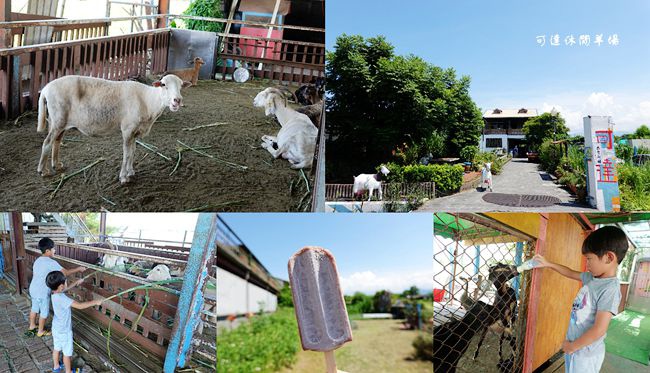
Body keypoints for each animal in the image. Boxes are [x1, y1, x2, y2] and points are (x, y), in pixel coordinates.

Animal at [37, 73, 190, 183]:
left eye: (181, 86)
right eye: (163, 85)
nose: (177, 100)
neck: (148, 101)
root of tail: (45, 89)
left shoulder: (135, 131)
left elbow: (133, 152)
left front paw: (130, 172)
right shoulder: (127, 129)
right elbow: (127, 153)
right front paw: (123, 177)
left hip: (59, 121)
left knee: (56, 141)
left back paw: (57, 165)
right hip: (58, 119)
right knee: (47, 142)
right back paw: (42, 170)